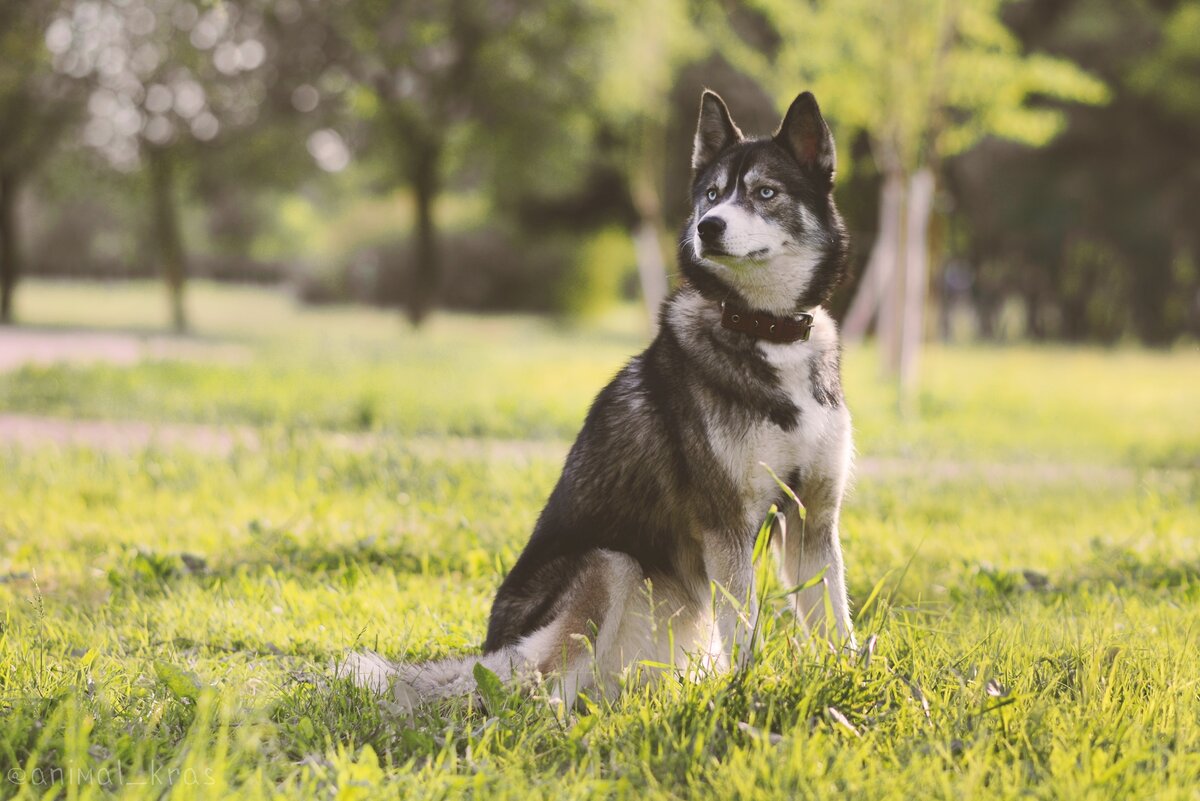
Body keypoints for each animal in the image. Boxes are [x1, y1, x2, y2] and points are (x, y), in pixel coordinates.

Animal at [343, 90, 859, 709]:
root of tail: (488, 655)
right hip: (607, 565)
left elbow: (836, 623)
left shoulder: (814, 519)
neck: (767, 330)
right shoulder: (726, 526)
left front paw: (854, 680)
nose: (707, 227)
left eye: (765, 192)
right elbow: (745, 627)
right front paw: (748, 692)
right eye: (712, 195)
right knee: (531, 691)